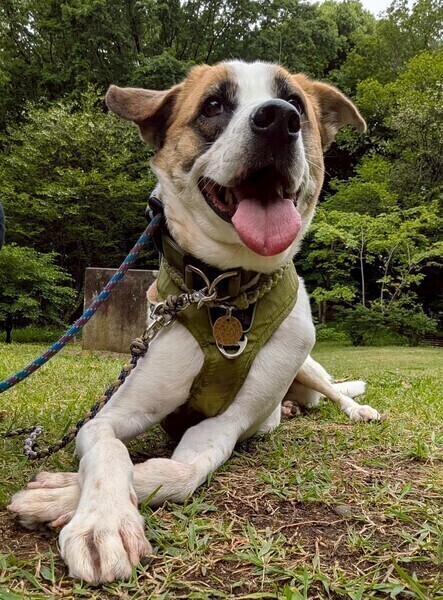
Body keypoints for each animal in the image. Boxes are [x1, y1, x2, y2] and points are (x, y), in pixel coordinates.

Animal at [8, 61, 380, 583]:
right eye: (213, 105)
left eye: (296, 105)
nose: (279, 119)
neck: (223, 291)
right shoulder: (109, 415)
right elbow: (110, 451)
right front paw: (102, 518)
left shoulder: (225, 425)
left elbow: (174, 471)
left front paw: (60, 494)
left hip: (304, 361)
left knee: (334, 390)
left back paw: (353, 410)